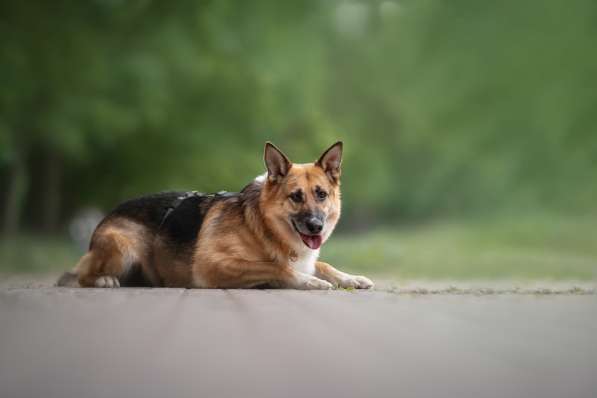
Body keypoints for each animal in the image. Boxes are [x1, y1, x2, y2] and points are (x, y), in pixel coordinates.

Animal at [56, 141, 372, 290]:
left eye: (321, 194)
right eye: (296, 196)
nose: (316, 226)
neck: (260, 225)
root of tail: (110, 213)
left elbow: (324, 265)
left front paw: (351, 278)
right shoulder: (213, 265)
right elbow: (276, 267)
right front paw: (310, 282)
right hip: (123, 246)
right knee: (80, 274)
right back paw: (103, 280)